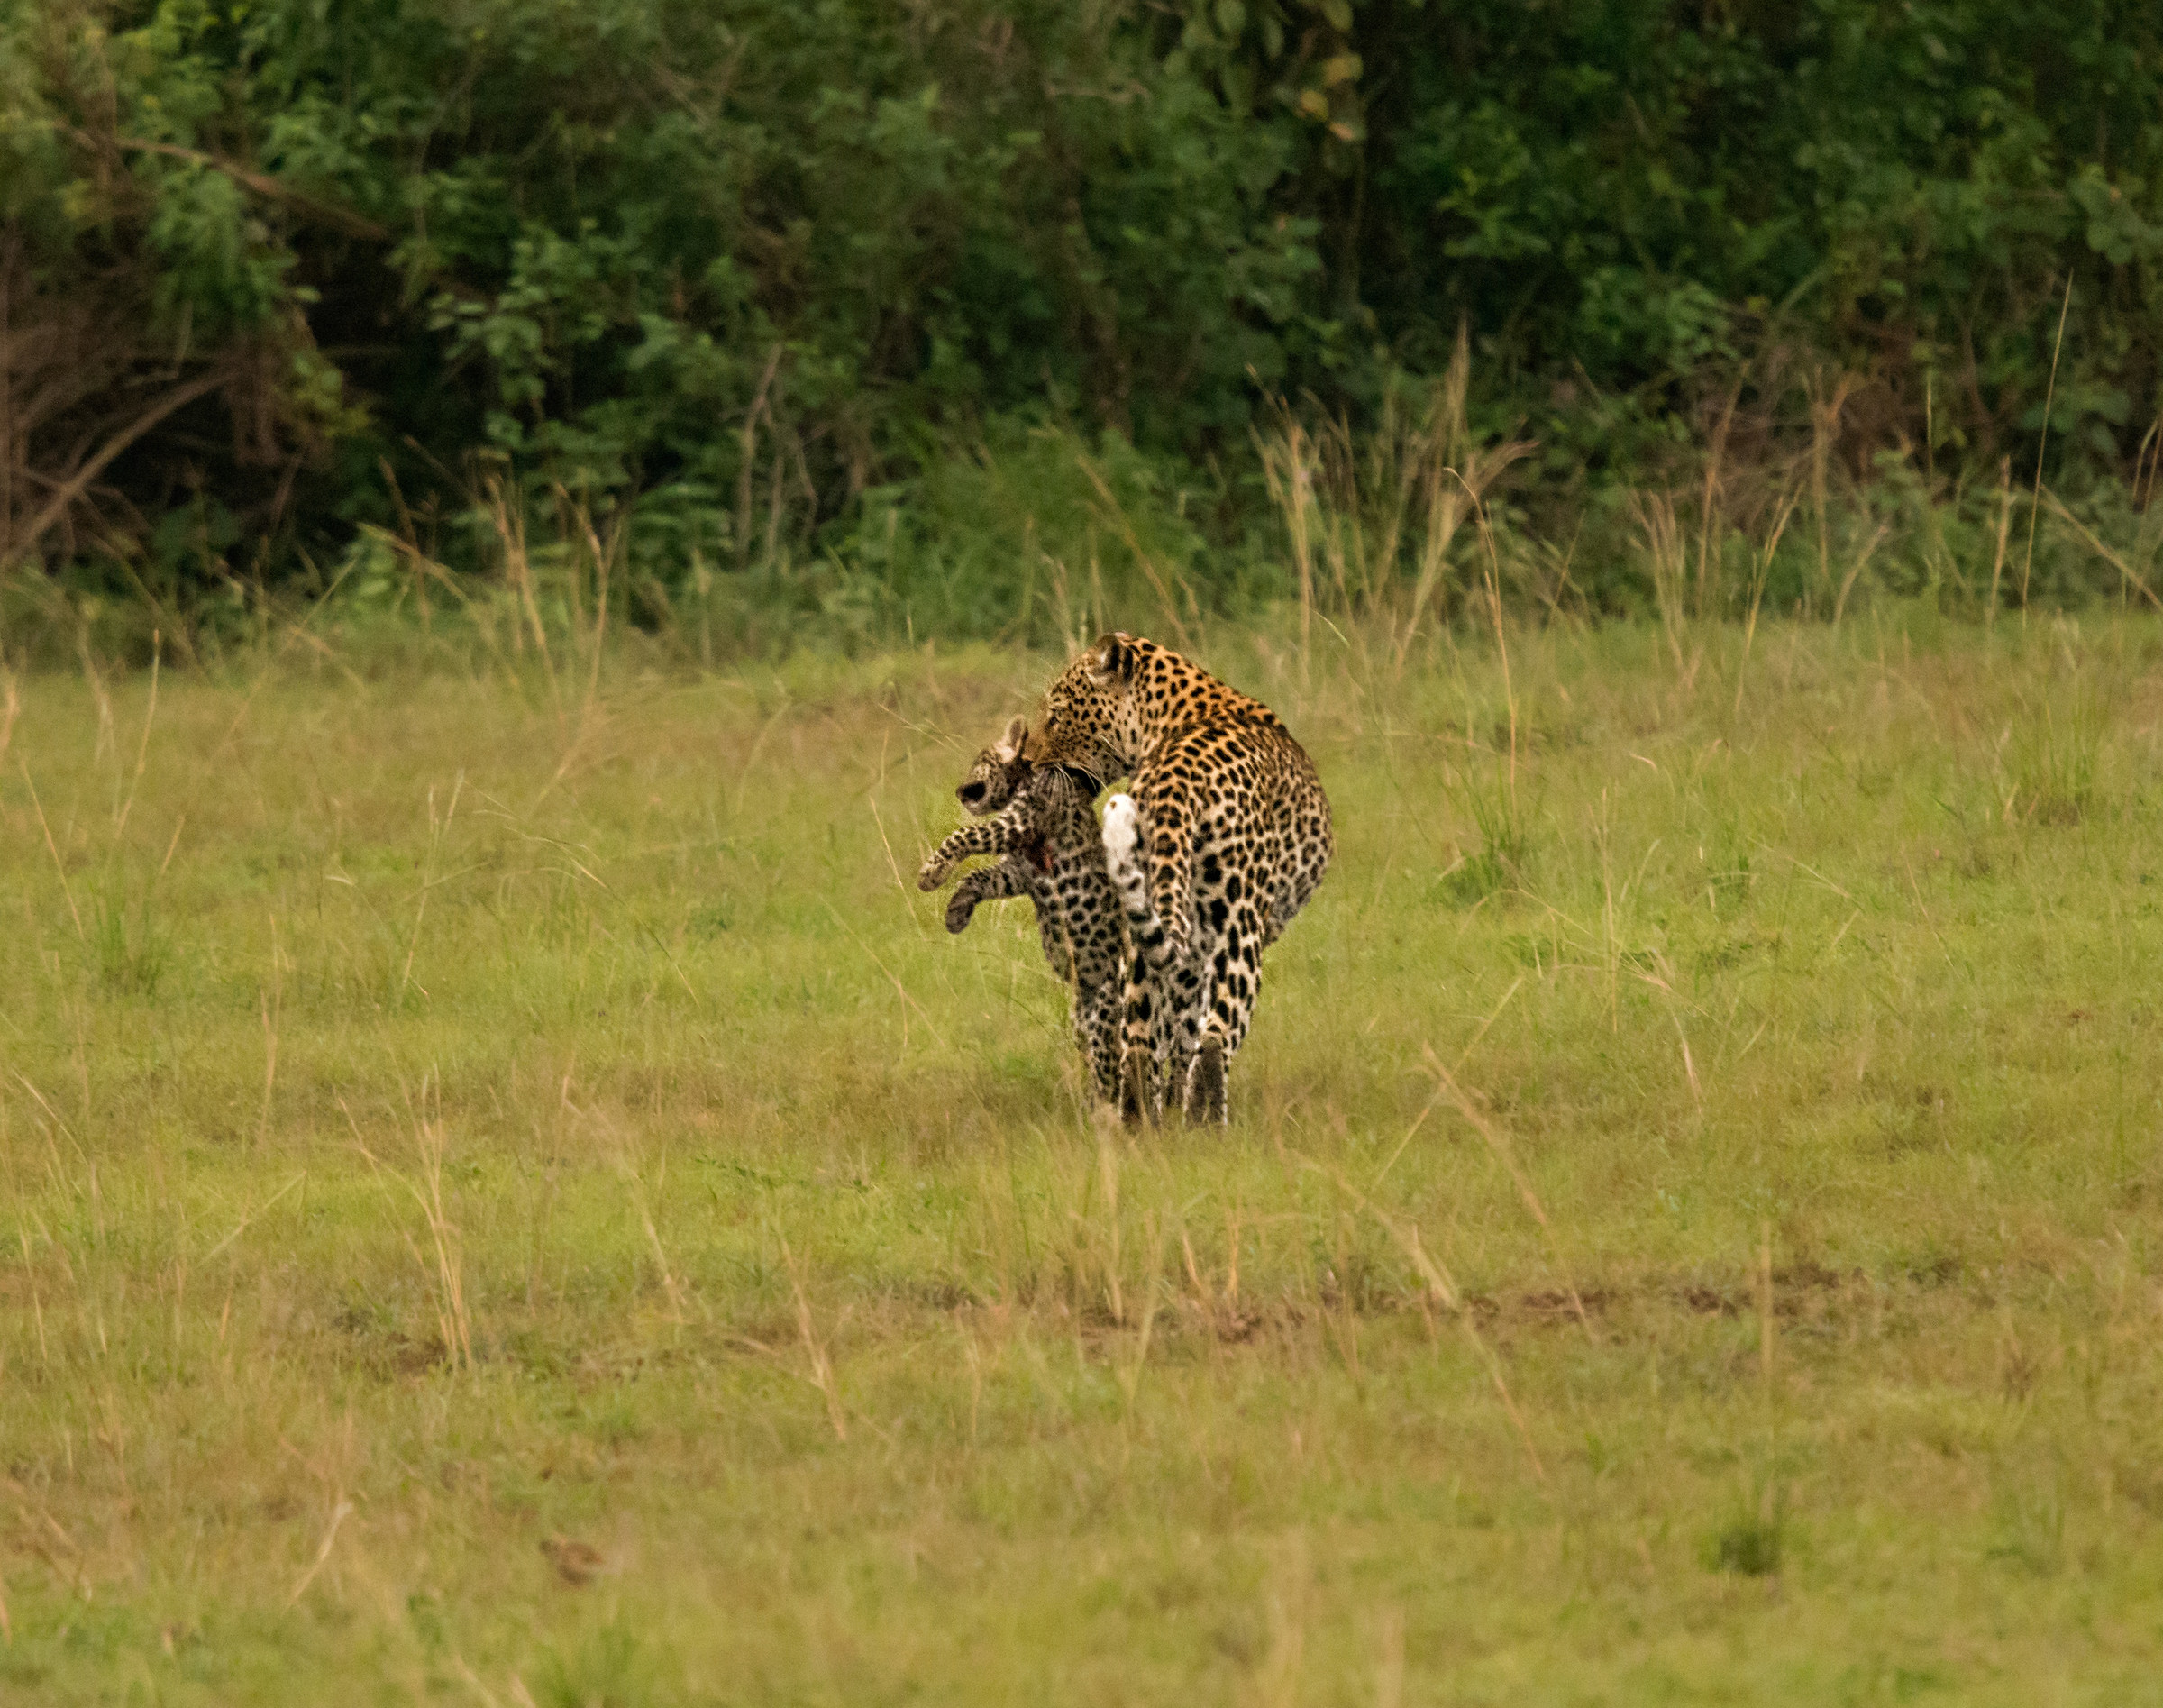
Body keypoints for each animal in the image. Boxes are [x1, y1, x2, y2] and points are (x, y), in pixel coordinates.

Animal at [917, 717, 1150, 1105]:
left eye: (980, 759)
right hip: (1082, 1014)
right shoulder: (1017, 872)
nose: (959, 791)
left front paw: (931, 873)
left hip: (1109, 1004)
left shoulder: (1016, 823)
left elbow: (964, 834)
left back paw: (1104, 1109)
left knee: (1110, 1065)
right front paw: (956, 912)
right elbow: (978, 877)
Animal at [1021, 632, 1332, 1125]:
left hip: (1148, 933)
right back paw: (1206, 1127)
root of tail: (1176, 780)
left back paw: (1138, 1122)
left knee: (1138, 1040)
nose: (1028, 761)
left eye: (1056, 715)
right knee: (1216, 1036)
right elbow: (1192, 1035)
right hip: (1239, 924)